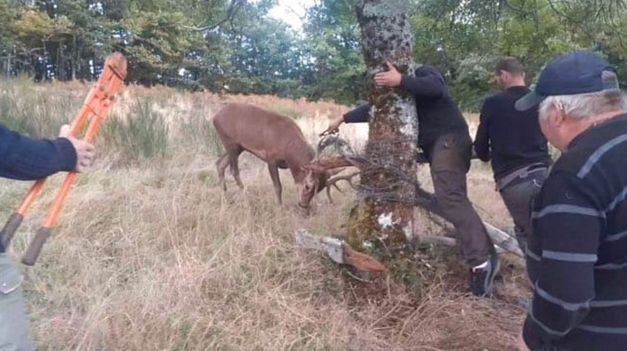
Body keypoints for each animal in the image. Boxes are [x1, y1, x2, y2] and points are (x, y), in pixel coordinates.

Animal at [212, 103, 356, 210]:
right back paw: (246, 196)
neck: (288, 149)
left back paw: (224, 195)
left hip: (238, 147)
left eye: (321, 188)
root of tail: (215, 117)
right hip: (229, 141)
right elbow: (278, 186)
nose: (303, 205)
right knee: (233, 170)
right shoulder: (270, 157)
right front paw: (280, 207)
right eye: (307, 186)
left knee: (220, 163)